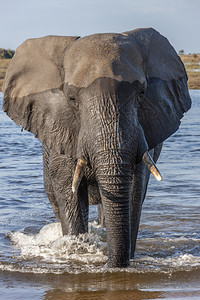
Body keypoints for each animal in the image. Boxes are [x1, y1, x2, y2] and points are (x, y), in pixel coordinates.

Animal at [2, 28, 191, 268]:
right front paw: (77, 253)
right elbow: (70, 193)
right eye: (71, 97)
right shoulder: (61, 128)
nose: (110, 266)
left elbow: (133, 190)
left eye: (142, 93)